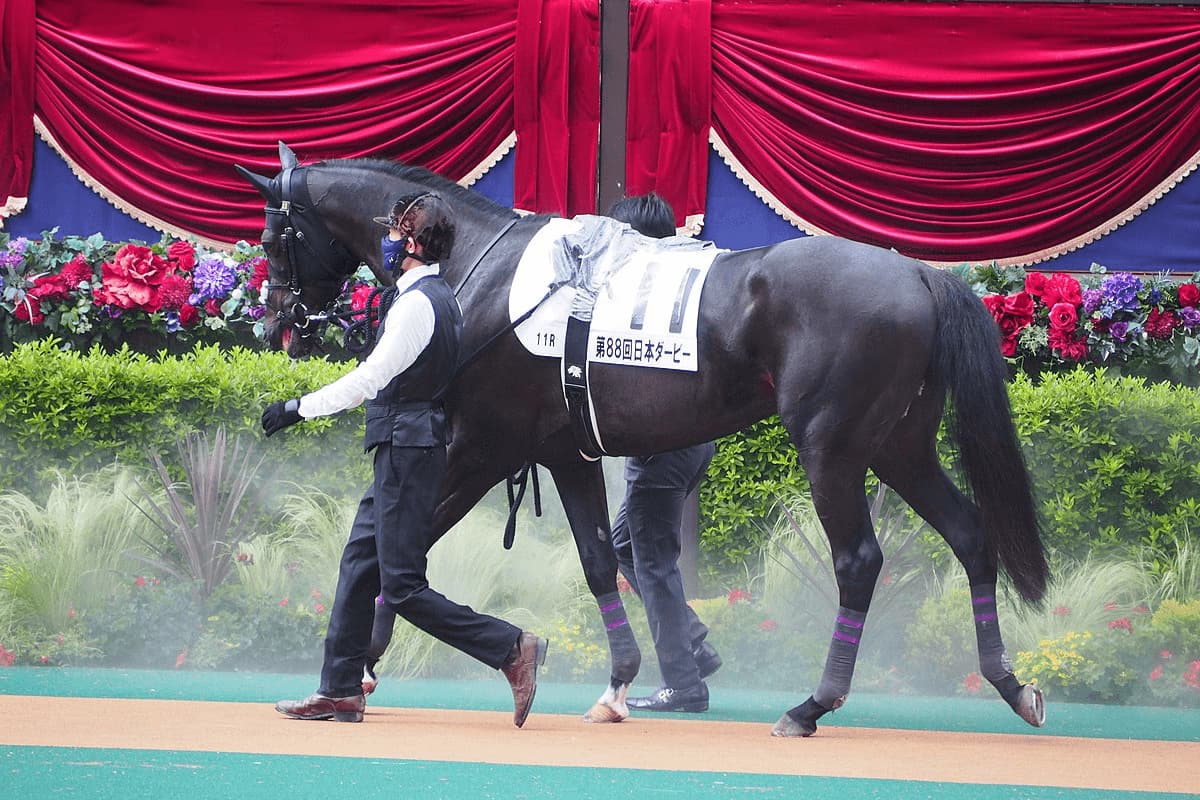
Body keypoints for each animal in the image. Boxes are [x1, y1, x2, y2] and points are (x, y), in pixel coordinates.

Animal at [237, 143, 1049, 735]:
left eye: (274, 235)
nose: (272, 319)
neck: (475, 265)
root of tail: (917, 272)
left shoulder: (481, 448)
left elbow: (397, 551)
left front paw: (363, 666)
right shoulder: (563, 453)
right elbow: (599, 561)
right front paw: (618, 684)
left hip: (834, 450)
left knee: (859, 562)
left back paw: (811, 706)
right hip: (900, 446)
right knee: (971, 533)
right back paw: (1011, 684)